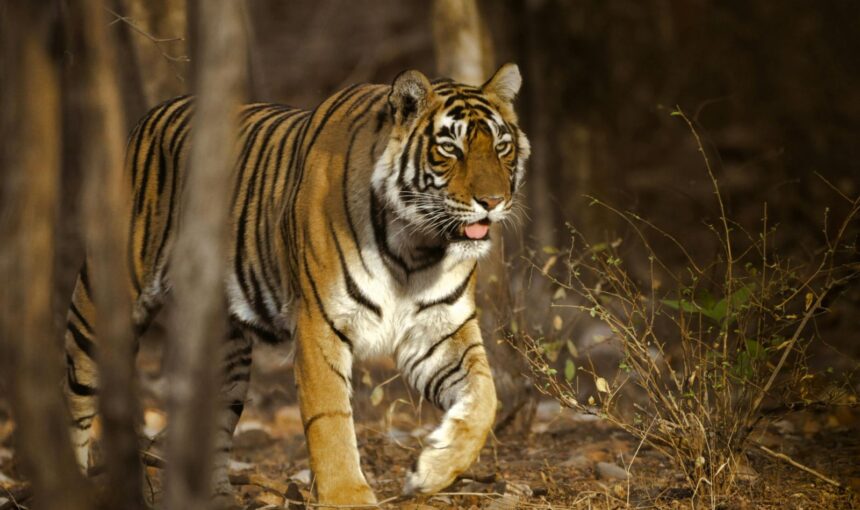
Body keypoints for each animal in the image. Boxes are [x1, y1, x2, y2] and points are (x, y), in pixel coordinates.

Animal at [63, 63, 529, 505]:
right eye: (449, 148)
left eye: (501, 146)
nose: (492, 202)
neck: (417, 249)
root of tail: (150, 115)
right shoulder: (321, 323)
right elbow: (330, 418)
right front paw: (346, 496)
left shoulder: (440, 330)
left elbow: (485, 397)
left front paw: (432, 469)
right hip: (102, 308)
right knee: (74, 402)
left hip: (226, 353)